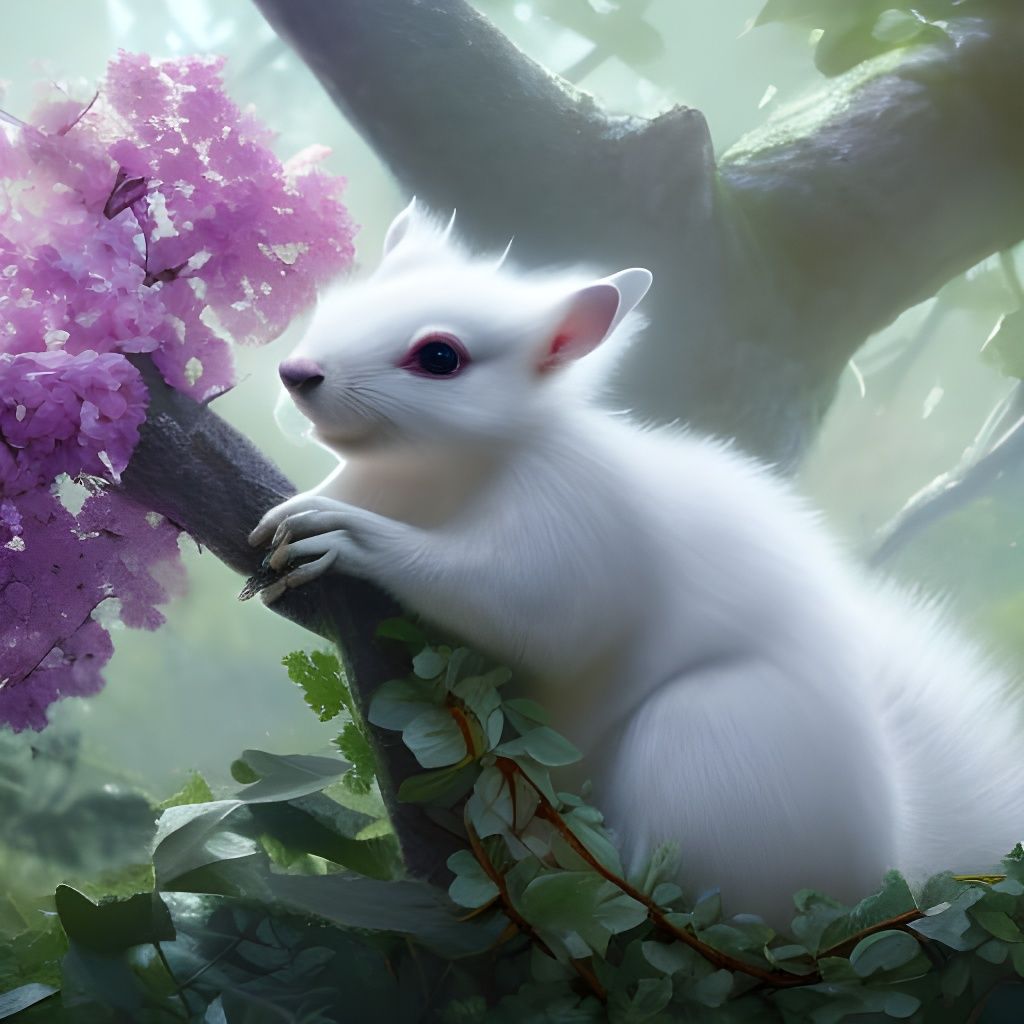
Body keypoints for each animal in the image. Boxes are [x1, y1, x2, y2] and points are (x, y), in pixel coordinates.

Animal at [249, 200, 1024, 927]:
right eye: (342, 303)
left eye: (441, 357)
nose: (294, 372)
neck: (435, 476)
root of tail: (878, 874)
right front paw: (300, 512)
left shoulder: (579, 525)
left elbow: (526, 610)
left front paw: (342, 534)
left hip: (709, 745)